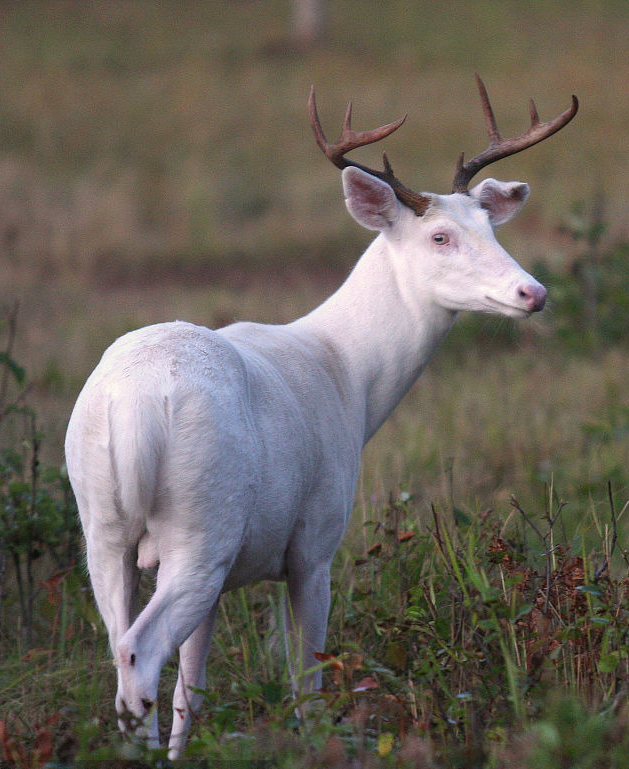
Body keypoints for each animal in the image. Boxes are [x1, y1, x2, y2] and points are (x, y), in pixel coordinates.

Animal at [63, 75, 576, 760]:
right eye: (439, 237)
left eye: (492, 229)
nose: (533, 292)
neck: (348, 378)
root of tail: (134, 406)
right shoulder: (314, 543)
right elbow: (306, 683)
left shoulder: (233, 576)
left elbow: (191, 691)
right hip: (203, 526)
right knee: (138, 655)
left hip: (104, 527)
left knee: (124, 664)